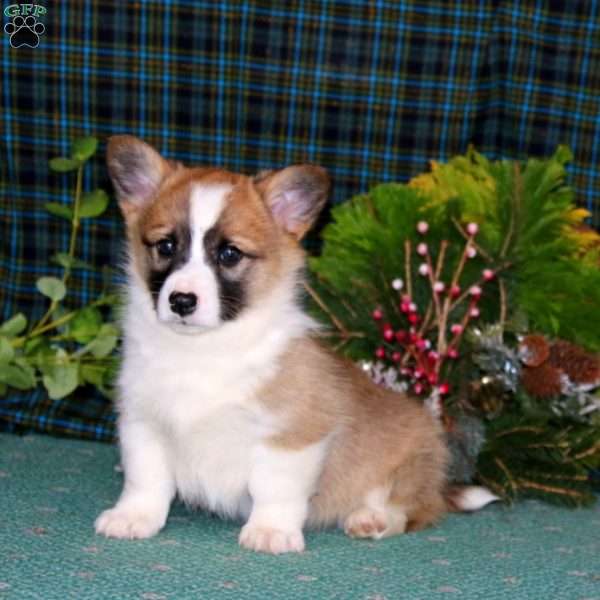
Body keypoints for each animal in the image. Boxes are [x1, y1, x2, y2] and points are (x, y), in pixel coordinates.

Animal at [95, 135, 492, 552]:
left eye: (229, 253)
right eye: (166, 246)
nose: (182, 301)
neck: (204, 350)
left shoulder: (292, 435)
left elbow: (274, 489)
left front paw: (270, 531)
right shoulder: (143, 422)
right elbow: (145, 480)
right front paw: (132, 517)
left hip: (408, 466)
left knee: (412, 508)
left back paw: (372, 519)